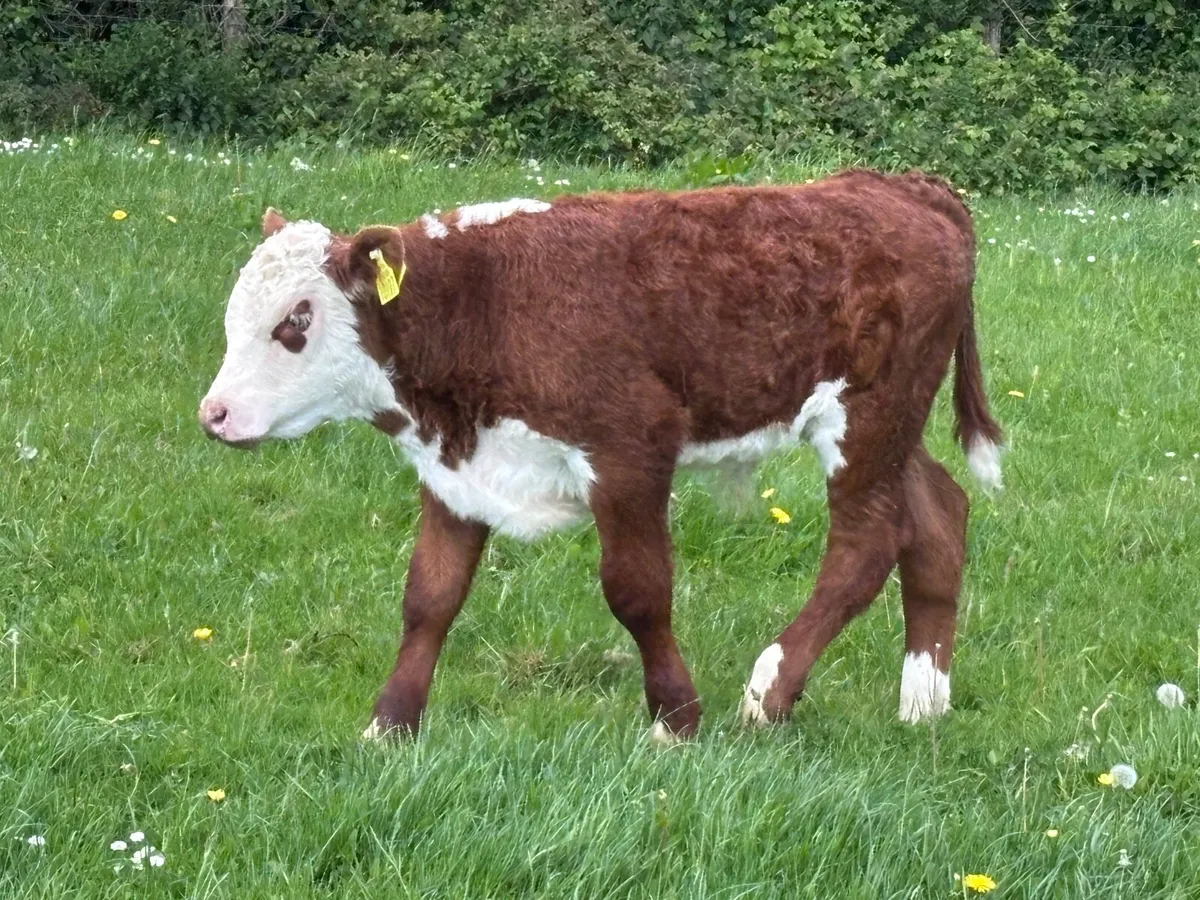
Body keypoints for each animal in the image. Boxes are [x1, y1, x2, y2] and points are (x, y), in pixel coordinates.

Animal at [198, 169, 1003, 742]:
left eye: (296, 319)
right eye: (234, 314)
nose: (214, 414)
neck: (486, 302)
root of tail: (902, 185)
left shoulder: (630, 448)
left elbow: (637, 590)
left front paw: (676, 720)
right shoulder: (456, 469)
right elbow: (429, 596)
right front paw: (389, 725)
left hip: (868, 416)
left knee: (865, 544)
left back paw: (769, 692)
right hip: (892, 427)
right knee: (938, 516)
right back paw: (923, 702)